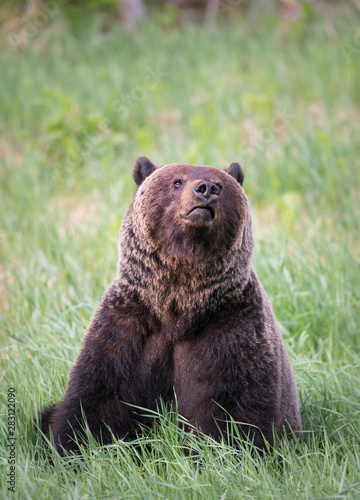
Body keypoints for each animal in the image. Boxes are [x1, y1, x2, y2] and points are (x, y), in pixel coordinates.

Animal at [39, 155, 302, 454]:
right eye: (177, 181)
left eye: (221, 185)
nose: (206, 189)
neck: (178, 306)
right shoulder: (129, 326)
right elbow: (96, 397)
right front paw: (72, 447)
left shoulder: (232, 325)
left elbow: (237, 408)